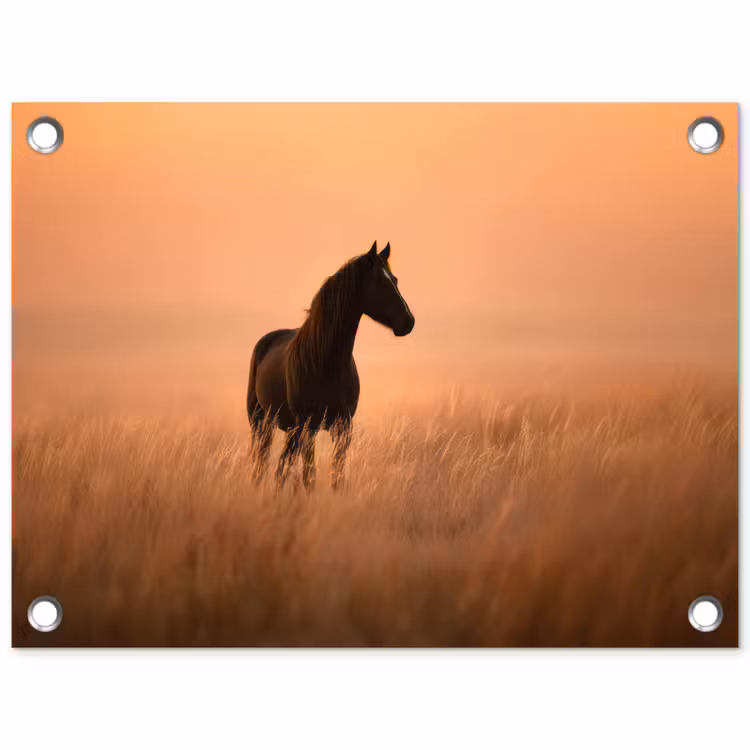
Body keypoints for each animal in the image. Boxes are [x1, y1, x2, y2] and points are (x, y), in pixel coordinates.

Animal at [246, 241, 415, 490]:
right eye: (379, 282)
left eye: (394, 279)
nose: (408, 322)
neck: (326, 361)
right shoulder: (309, 426)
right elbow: (310, 477)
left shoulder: (342, 427)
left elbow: (337, 476)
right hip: (261, 422)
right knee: (264, 464)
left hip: (289, 429)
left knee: (281, 467)